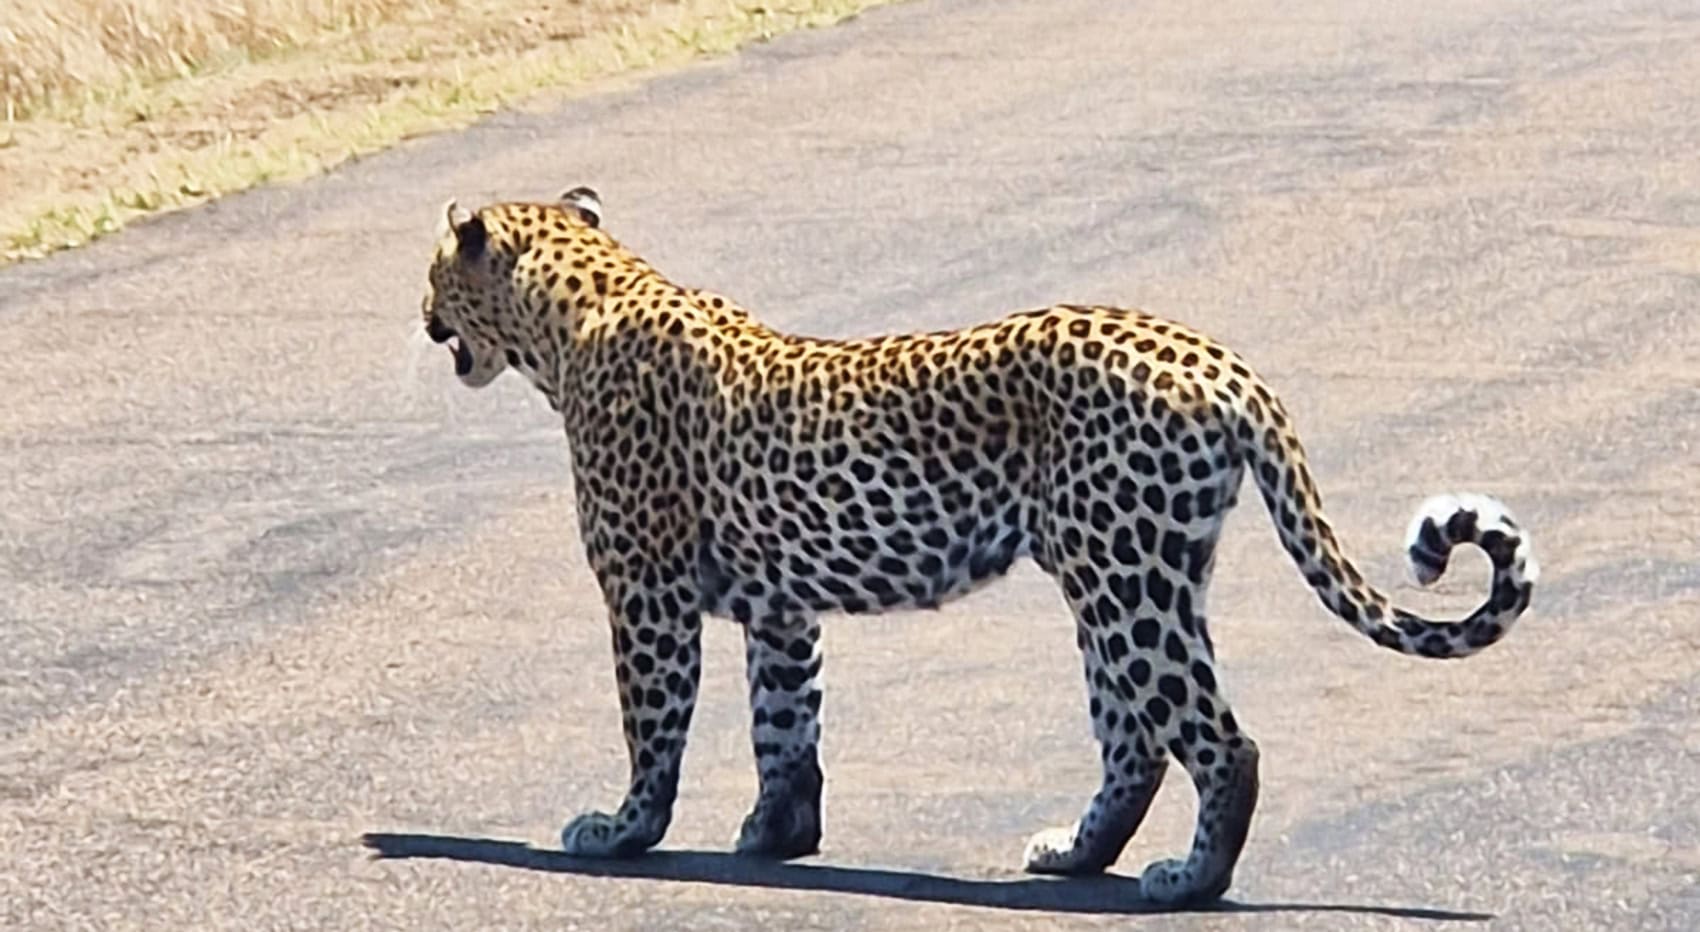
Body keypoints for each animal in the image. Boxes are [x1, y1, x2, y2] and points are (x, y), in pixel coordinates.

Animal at [417, 186, 1538, 905]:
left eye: (431, 271)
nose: (420, 312)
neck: (573, 314)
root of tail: (1220, 361)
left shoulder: (644, 589)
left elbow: (652, 723)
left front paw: (622, 832)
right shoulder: (780, 608)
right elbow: (784, 728)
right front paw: (777, 835)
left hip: (1124, 578)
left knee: (1218, 739)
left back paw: (1184, 882)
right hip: (1121, 575)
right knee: (1134, 738)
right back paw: (1075, 855)